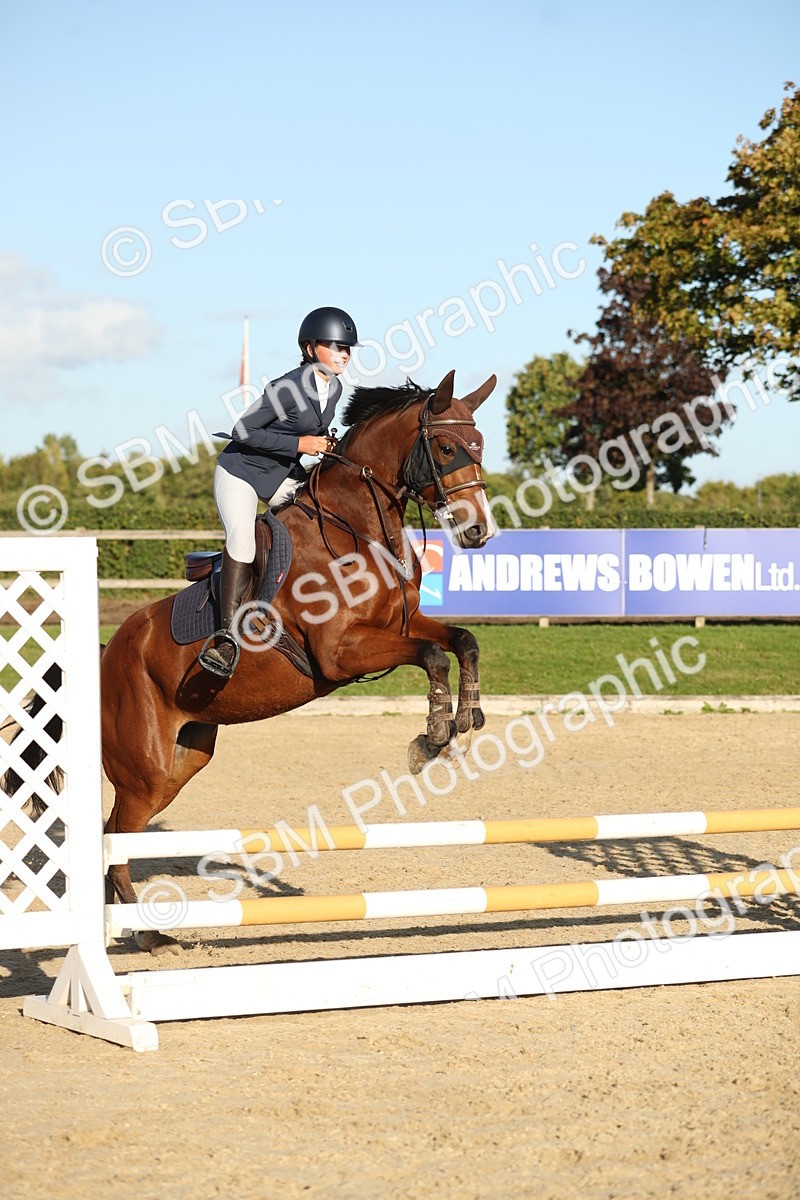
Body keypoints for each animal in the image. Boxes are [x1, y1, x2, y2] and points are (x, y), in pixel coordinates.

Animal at [2, 369, 496, 952]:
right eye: (445, 448)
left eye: (480, 446)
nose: (479, 532)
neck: (356, 528)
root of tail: (105, 655)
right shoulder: (341, 651)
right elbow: (432, 657)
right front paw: (433, 736)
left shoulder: (400, 625)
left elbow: (461, 641)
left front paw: (467, 715)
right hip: (143, 767)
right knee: (115, 834)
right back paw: (147, 936)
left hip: (181, 760)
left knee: (118, 834)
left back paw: (136, 930)